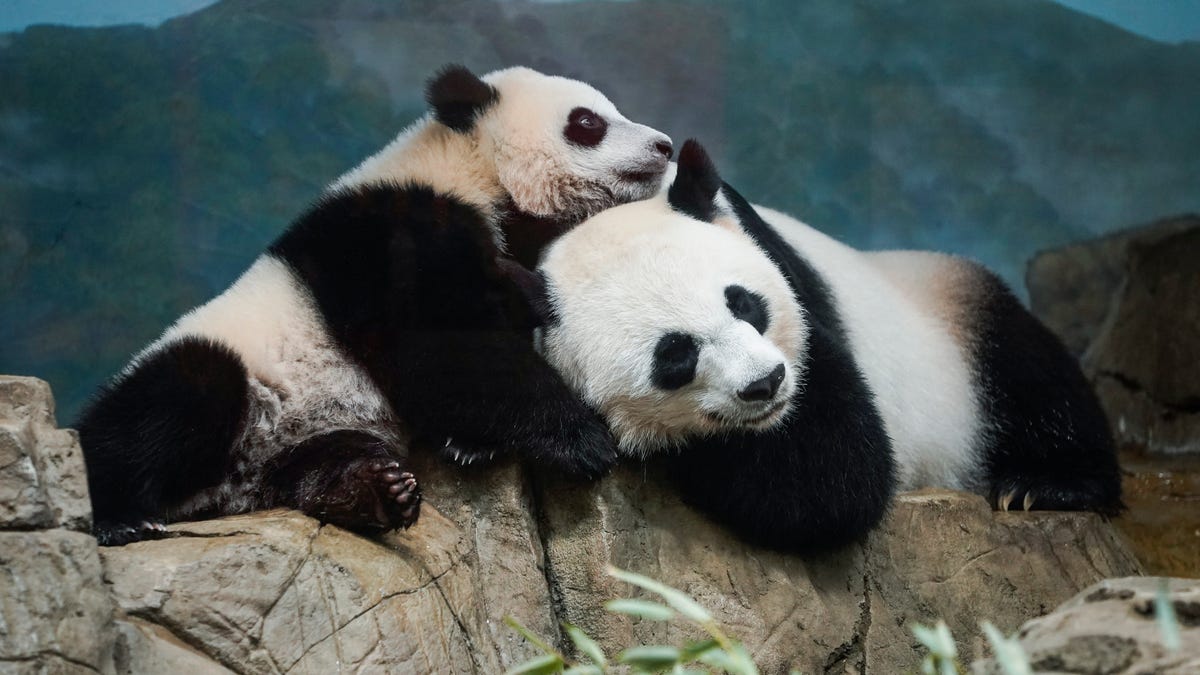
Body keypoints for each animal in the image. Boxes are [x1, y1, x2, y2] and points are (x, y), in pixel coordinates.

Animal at [76, 65, 673, 546]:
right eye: (587, 122)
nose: (665, 146)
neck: (473, 170)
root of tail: (225, 492)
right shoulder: (392, 234)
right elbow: (447, 347)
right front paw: (583, 441)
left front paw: (470, 444)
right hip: (229, 367)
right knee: (172, 402)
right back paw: (121, 517)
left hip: (309, 439)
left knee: (325, 462)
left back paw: (375, 492)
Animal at [529, 140, 1122, 553]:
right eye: (675, 357)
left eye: (745, 304)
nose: (765, 385)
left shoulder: (787, 283)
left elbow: (832, 472)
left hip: (953, 318)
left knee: (1034, 377)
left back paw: (1043, 486)